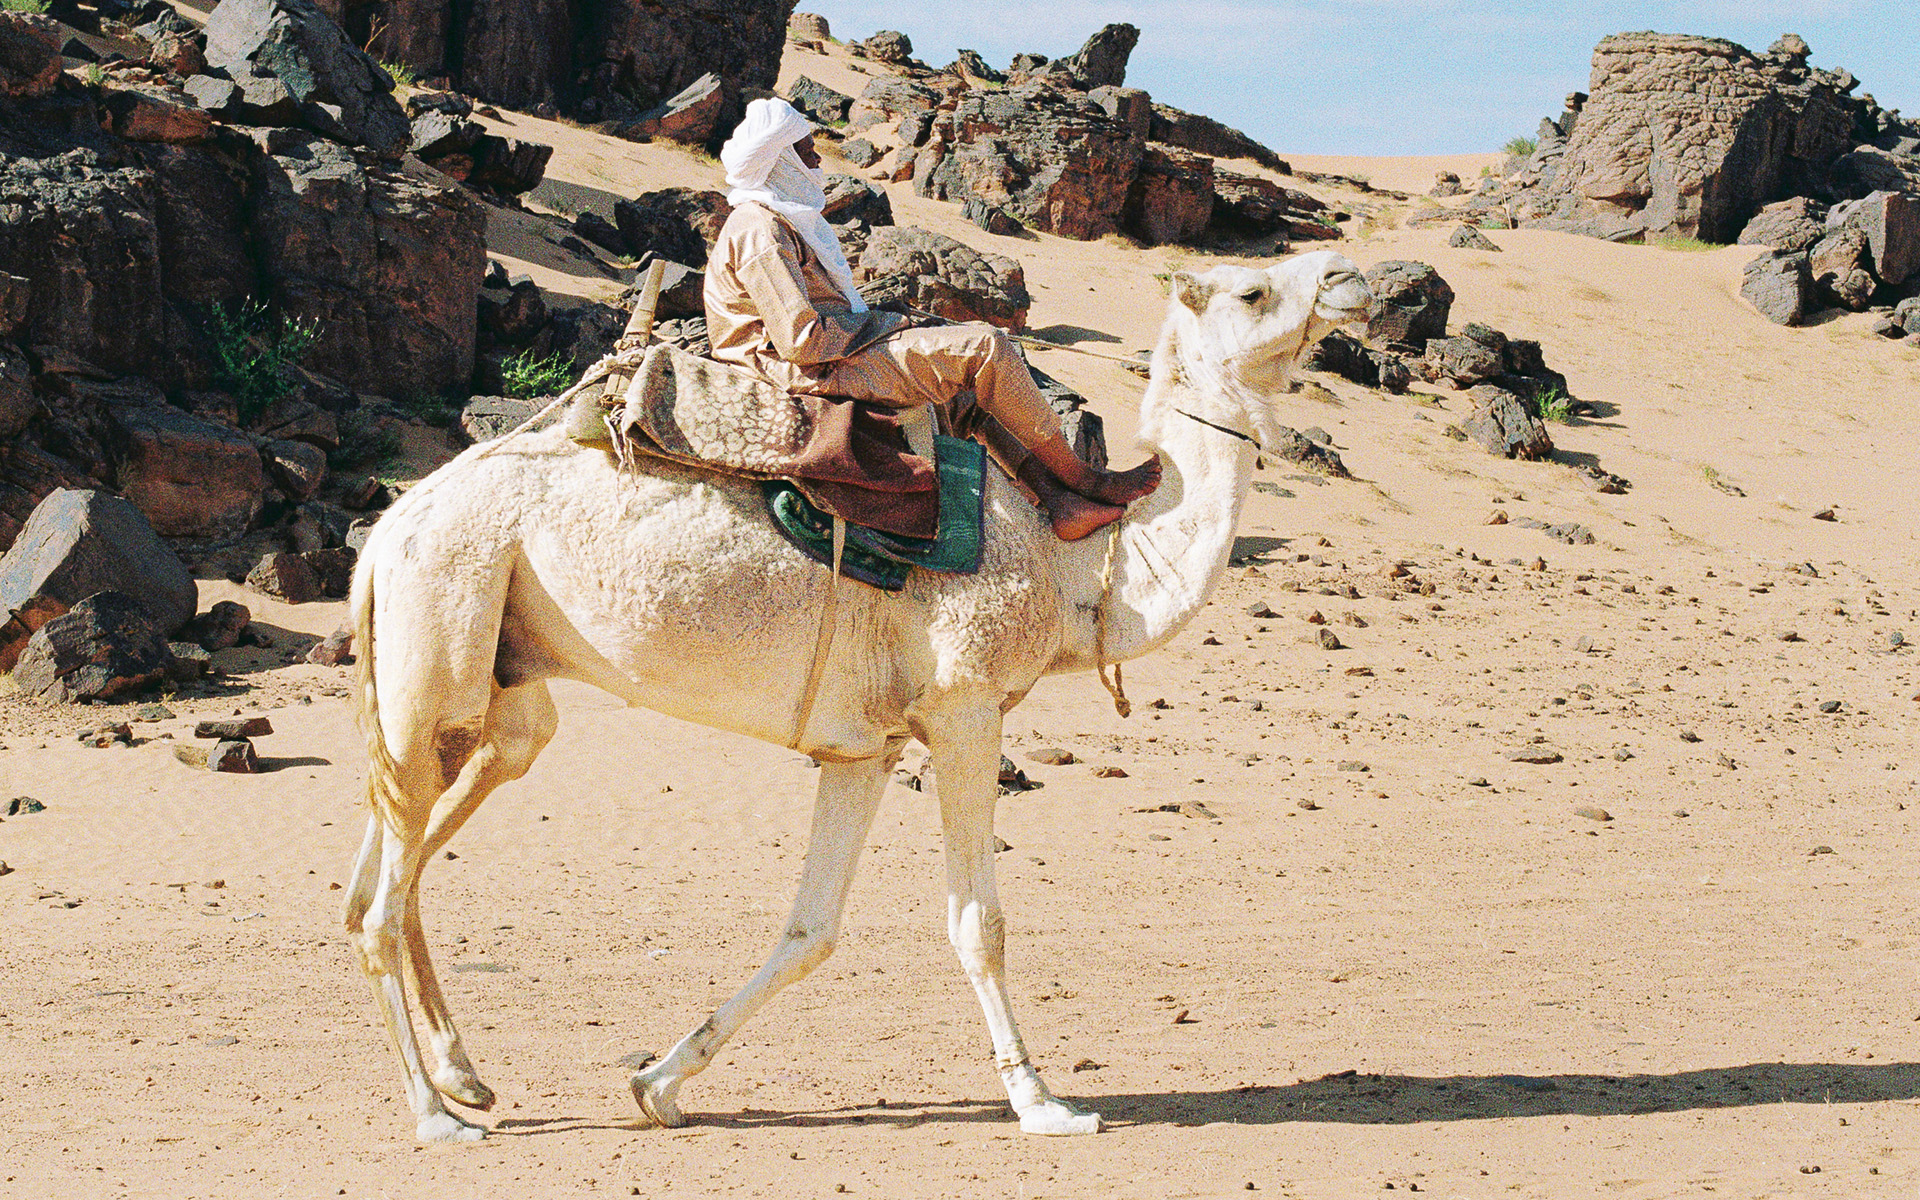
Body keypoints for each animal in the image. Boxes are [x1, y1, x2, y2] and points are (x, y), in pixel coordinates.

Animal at [344, 249, 1372, 1143]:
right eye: (1251, 290)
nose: (1350, 276)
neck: (1077, 566)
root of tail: (386, 529)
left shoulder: (865, 745)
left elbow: (812, 930)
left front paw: (658, 1084)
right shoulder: (966, 709)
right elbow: (978, 924)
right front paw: (1044, 1104)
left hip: (489, 685)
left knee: (387, 865)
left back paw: (465, 1077)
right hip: (444, 627)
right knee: (385, 893)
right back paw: (435, 1115)